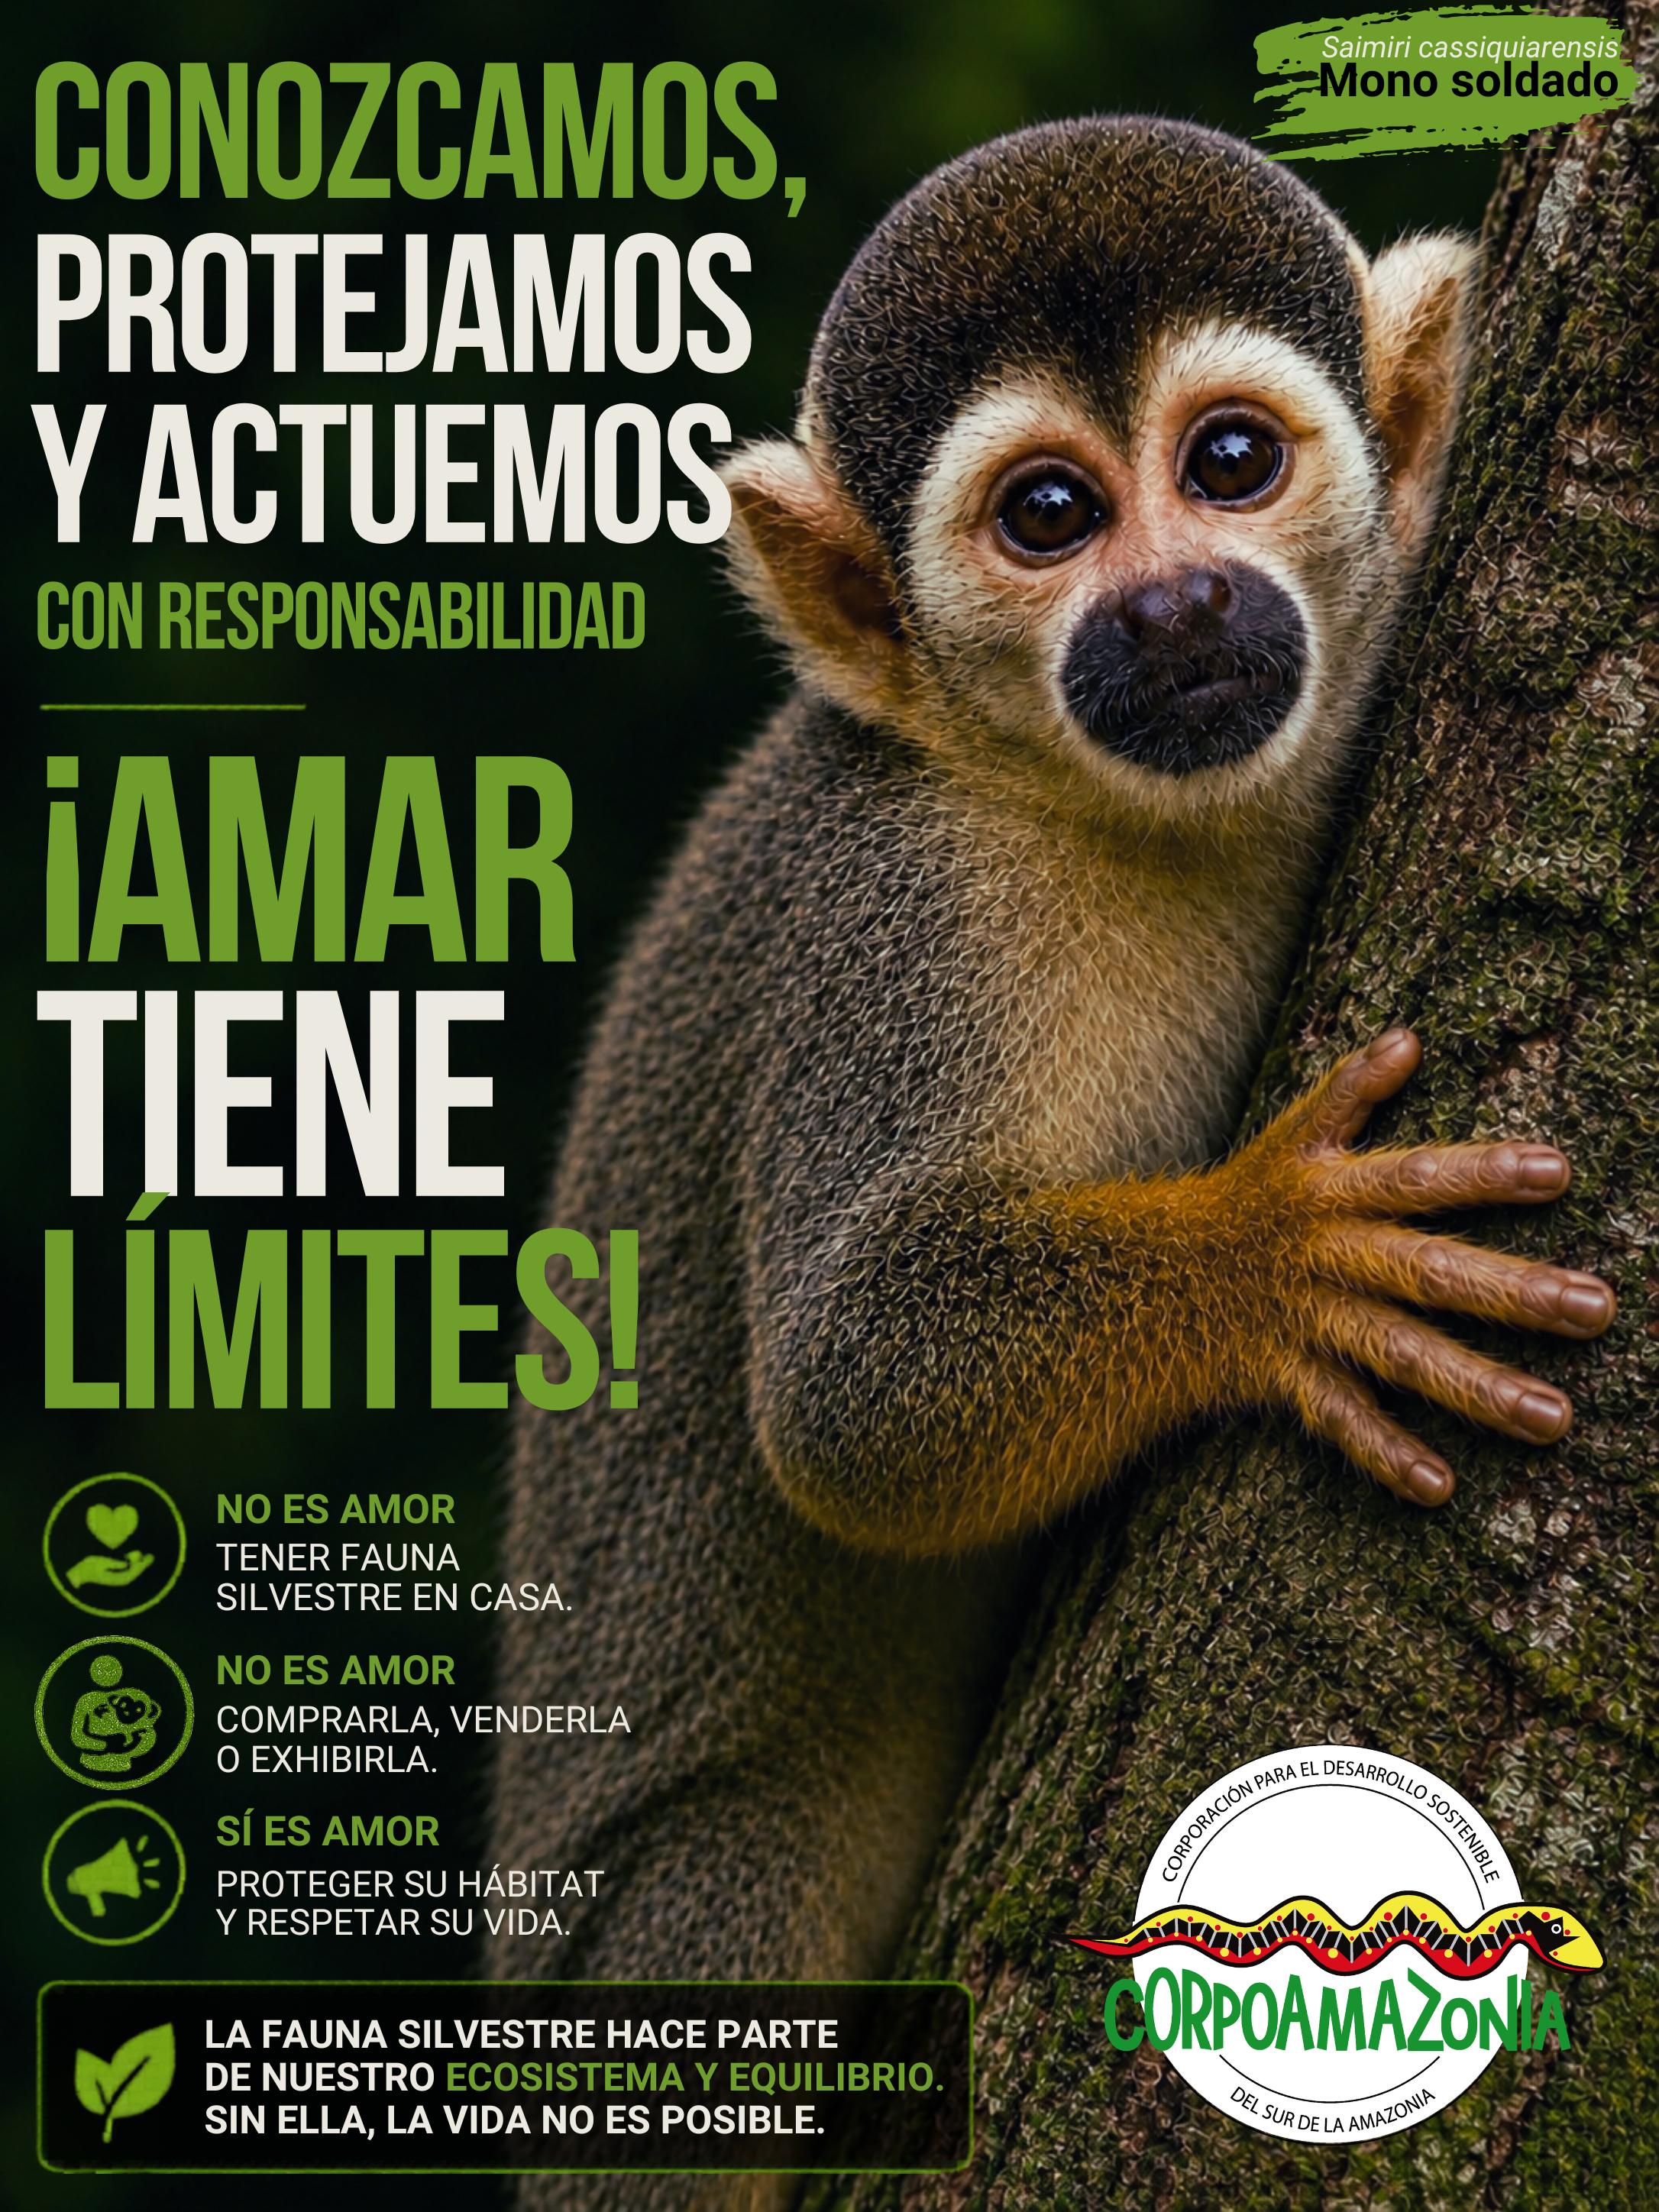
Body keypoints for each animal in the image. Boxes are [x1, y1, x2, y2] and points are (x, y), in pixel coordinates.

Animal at [490, 117, 1615, 2208]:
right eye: (1048, 514)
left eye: (1228, 464)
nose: (1170, 611)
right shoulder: (902, 924)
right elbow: (857, 1395)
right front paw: (1274, 1260)